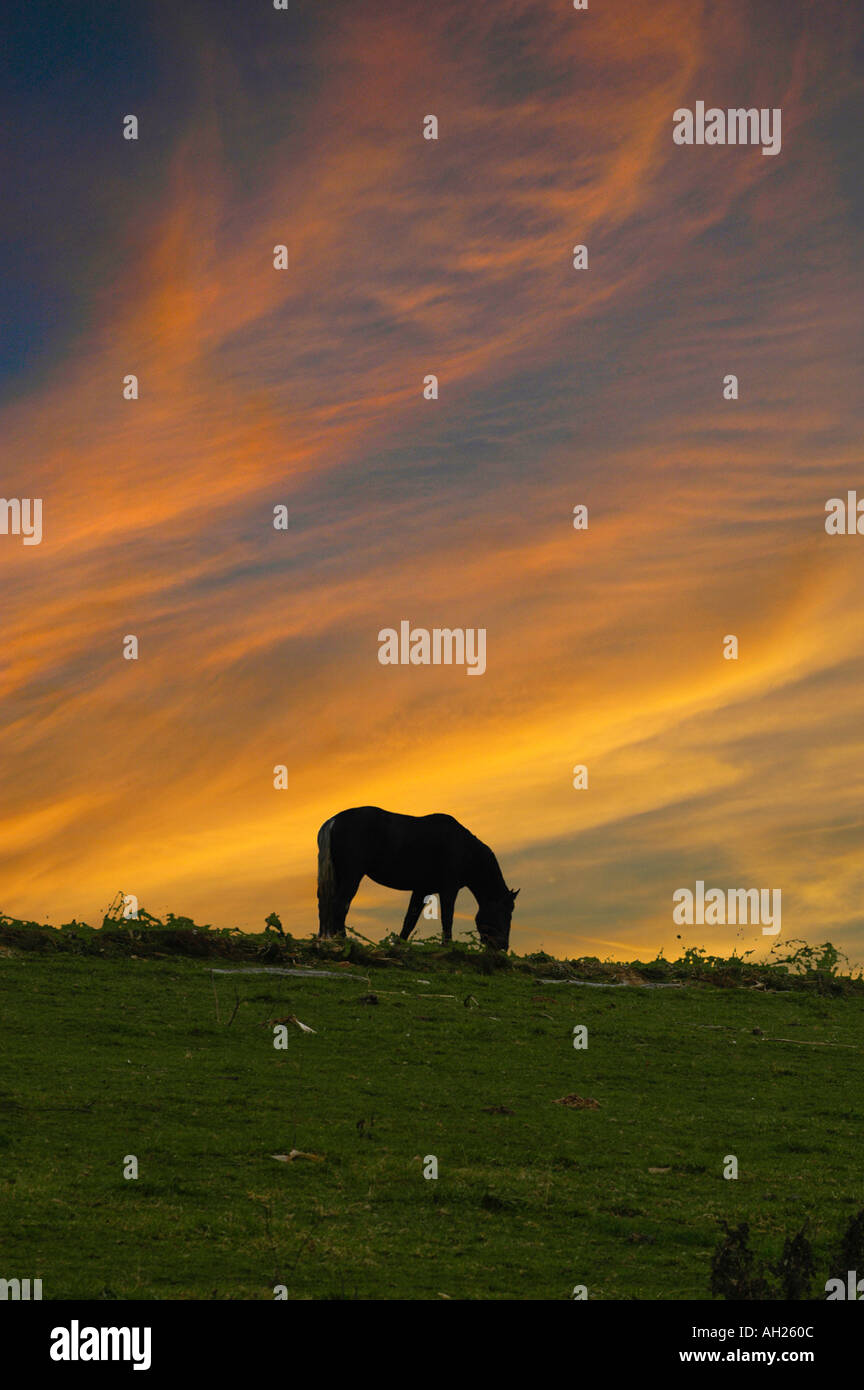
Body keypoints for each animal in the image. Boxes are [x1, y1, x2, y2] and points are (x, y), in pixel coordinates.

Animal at [318, 811, 522, 950]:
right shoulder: (449, 889)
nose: (503, 946)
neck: (465, 849)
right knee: (340, 904)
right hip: (352, 876)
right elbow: (447, 918)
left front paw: (399, 946)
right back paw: (343, 941)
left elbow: (410, 919)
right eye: (506, 911)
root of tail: (334, 821)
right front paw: (447, 946)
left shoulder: (422, 889)